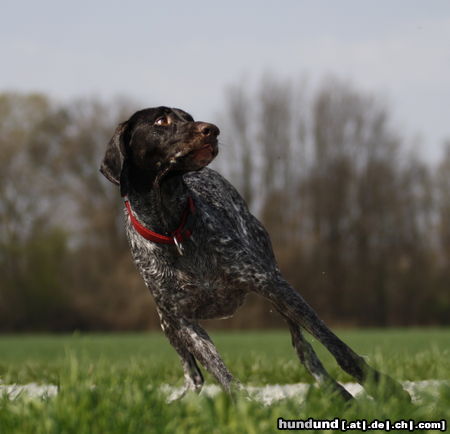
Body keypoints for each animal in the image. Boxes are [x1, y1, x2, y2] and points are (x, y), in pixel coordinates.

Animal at [100, 107, 410, 402]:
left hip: (275, 285)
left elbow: (335, 344)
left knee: (303, 348)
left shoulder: (272, 285)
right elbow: (222, 374)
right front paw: (245, 406)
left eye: (187, 117)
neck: (172, 229)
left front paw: (382, 385)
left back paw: (337, 392)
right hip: (167, 323)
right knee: (194, 376)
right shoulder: (184, 322)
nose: (212, 130)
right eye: (161, 121)